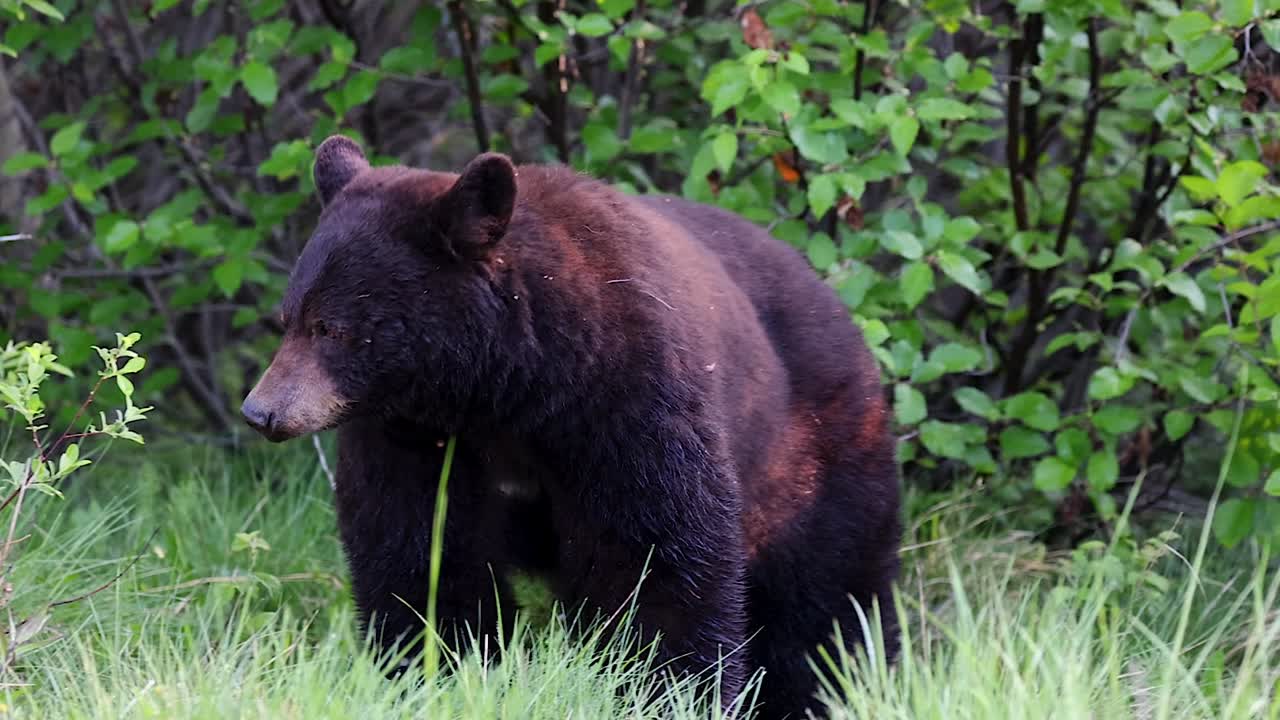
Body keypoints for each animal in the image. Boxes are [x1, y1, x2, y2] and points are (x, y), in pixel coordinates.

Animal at [240, 135, 902, 719]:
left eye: (333, 328)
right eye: (289, 317)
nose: (261, 412)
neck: (502, 386)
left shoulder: (627, 401)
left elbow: (658, 552)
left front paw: (670, 691)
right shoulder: (411, 431)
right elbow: (416, 544)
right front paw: (437, 671)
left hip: (817, 453)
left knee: (829, 602)